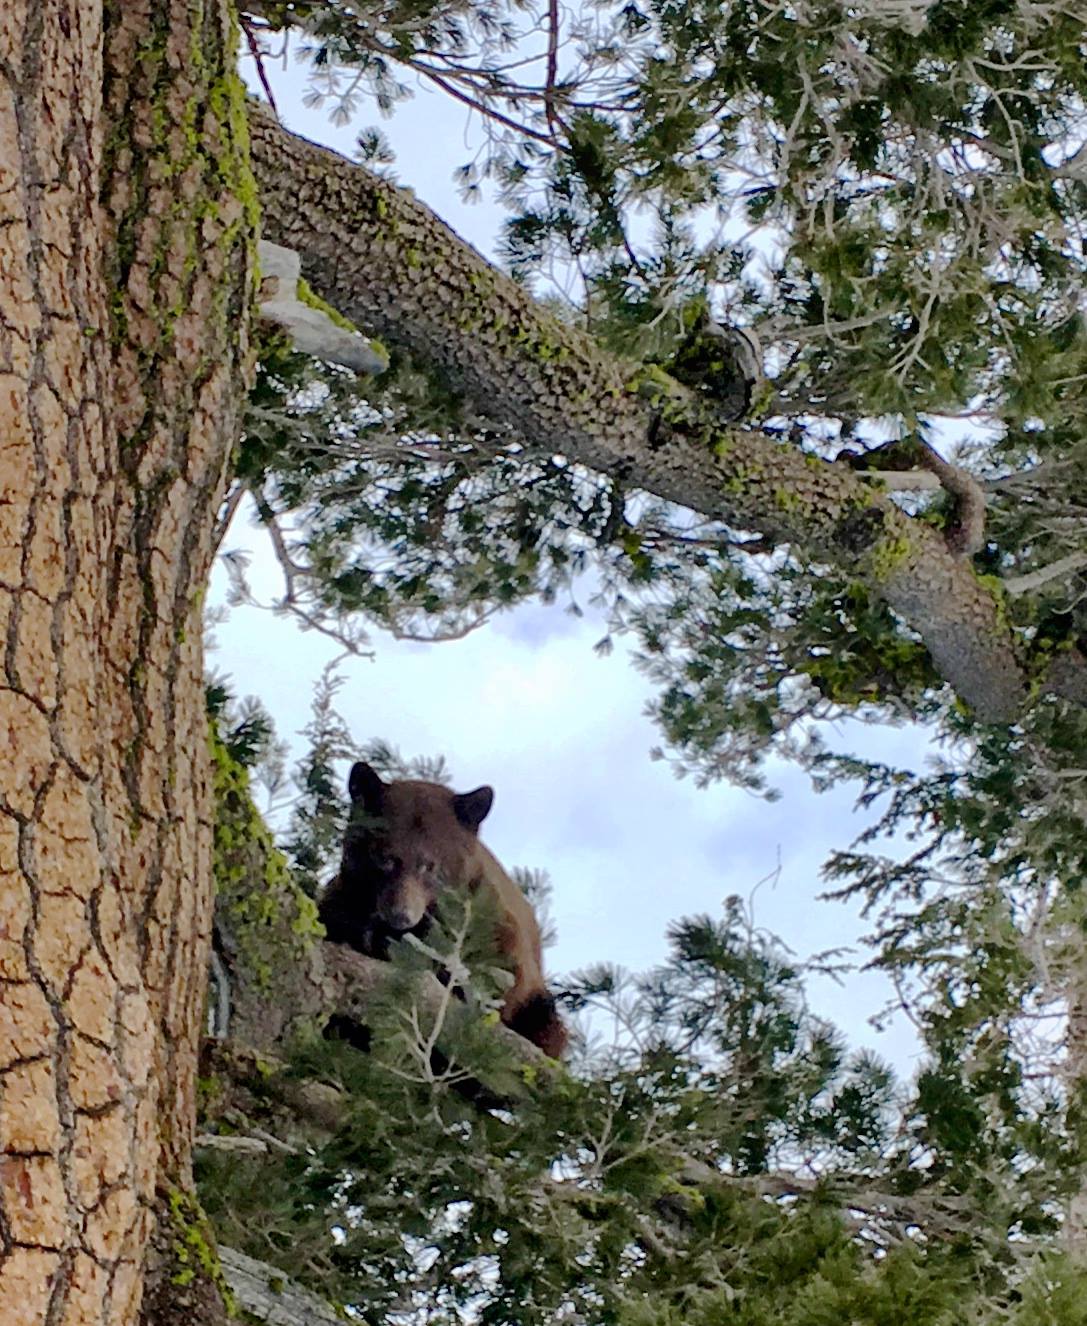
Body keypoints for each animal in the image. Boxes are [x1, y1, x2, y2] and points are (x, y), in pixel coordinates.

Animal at [316, 763, 564, 1060]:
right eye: (385, 859)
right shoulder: (344, 897)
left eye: (429, 865)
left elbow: (506, 976)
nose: (401, 915)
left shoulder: (489, 918)